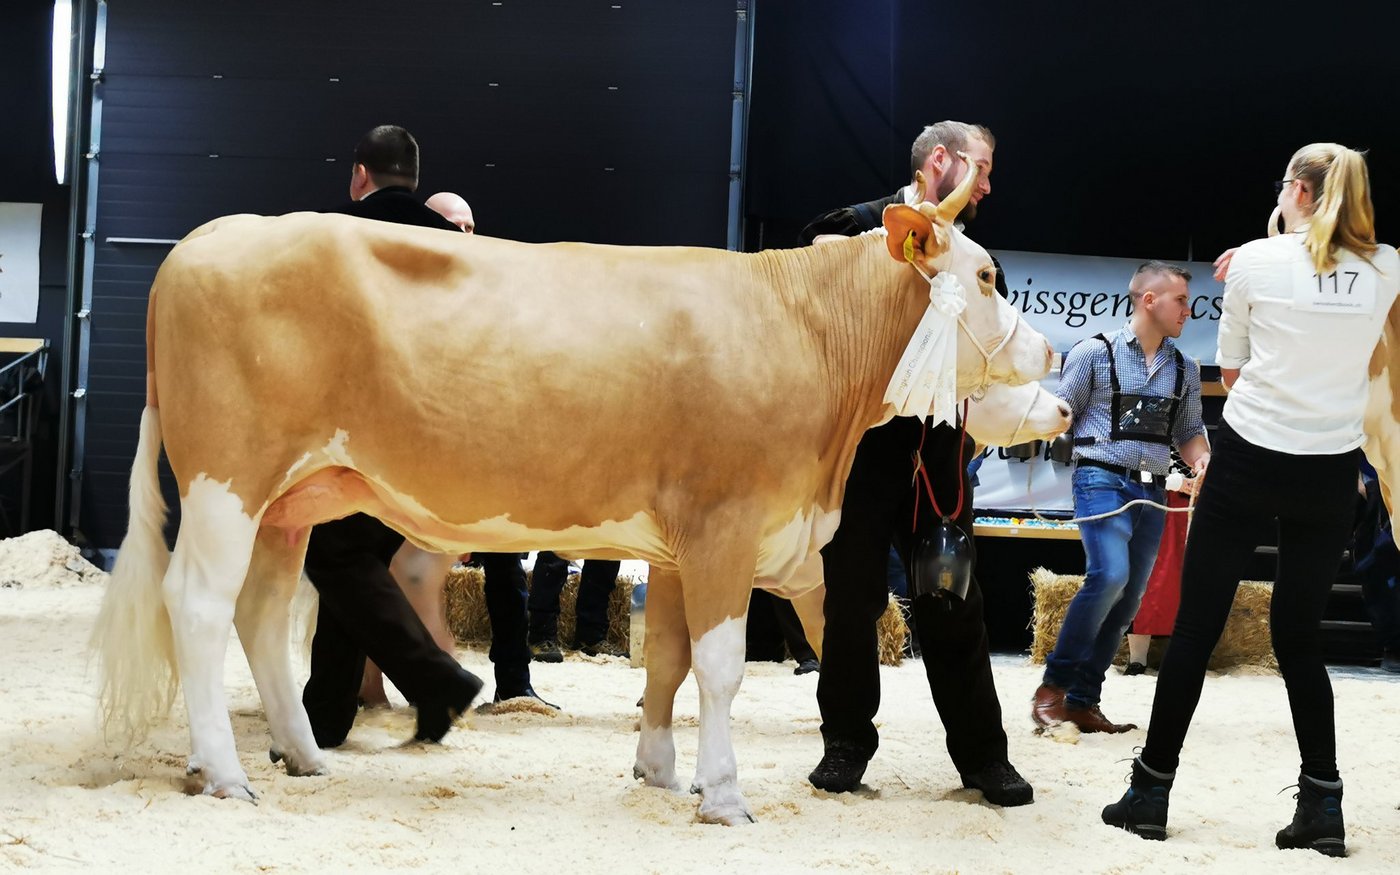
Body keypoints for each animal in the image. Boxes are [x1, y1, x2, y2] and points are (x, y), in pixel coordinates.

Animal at [91, 164, 1053, 824]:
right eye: (988, 277)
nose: (1048, 355)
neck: (804, 326)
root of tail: (206, 239)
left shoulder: (678, 540)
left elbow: (666, 660)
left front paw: (663, 772)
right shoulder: (726, 525)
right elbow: (721, 666)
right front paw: (724, 794)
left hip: (291, 498)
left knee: (258, 611)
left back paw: (302, 755)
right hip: (226, 481)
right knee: (200, 604)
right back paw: (226, 770)